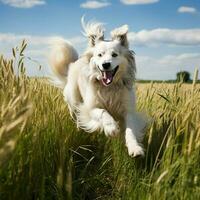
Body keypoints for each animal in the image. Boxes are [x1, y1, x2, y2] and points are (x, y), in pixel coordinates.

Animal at [48, 19, 145, 157]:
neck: (109, 87)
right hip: (74, 102)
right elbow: (103, 112)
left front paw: (135, 148)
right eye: (99, 55)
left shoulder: (128, 111)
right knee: (77, 116)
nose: (105, 64)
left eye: (114, 55)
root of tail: (73, 63)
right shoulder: (90, 107)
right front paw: (111, 128)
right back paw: (80, 128)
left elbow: (130, 130)